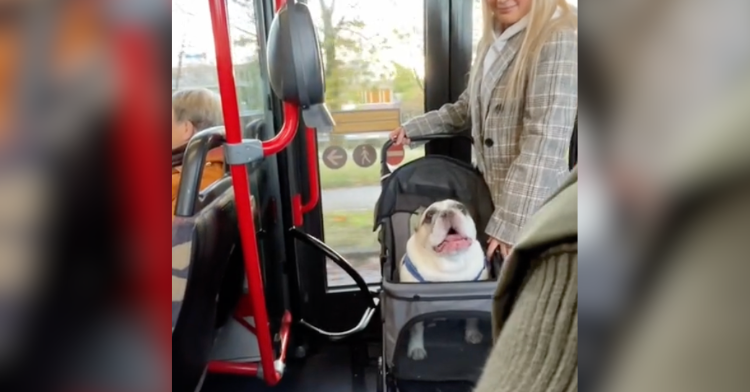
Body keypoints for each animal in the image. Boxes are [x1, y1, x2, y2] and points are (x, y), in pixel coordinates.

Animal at [402, 199, 490, 362]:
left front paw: (472, 333)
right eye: (429, 215)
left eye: (461, 208)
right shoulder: (414, 307)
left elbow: (473, 317)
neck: (451, 260)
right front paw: (416, 348)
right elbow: (417, 328)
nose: (448, 212)